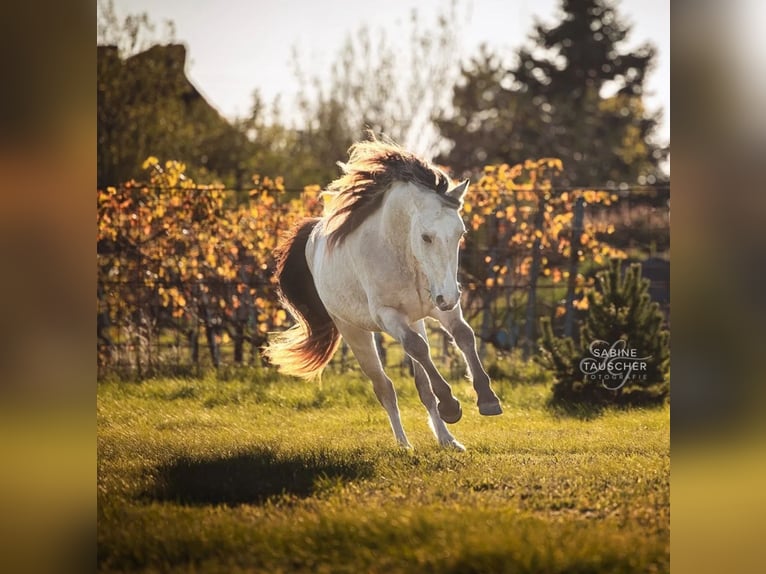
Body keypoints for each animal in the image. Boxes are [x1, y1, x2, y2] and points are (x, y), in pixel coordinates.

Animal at [264, 138, 504, 450]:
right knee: (384, 387)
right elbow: (417, 348)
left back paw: (447, 440)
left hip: (416, 318)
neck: (401, 252)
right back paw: (404, 445)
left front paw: (487, 400)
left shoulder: (438, 305)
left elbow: (464, 335)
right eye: (426, 236)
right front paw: (452, 406)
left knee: (423, 388)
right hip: (355, 332)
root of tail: (312, 239)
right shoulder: (388, 315)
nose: (450, 297)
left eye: (460, 233)